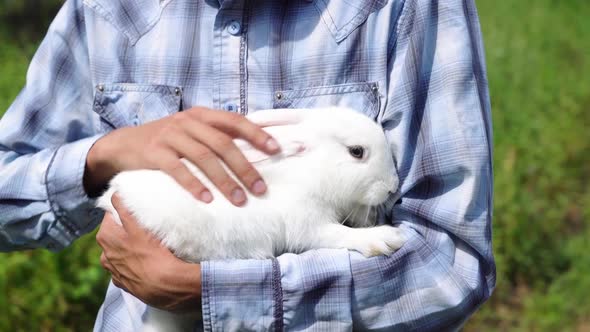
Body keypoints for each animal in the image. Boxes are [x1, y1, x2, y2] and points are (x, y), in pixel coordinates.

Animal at [99, 107, 410, 332]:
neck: (310, 168)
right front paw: (386, 238)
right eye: (357, 152)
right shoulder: (307, 224)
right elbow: (338, 235)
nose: (393, 187)